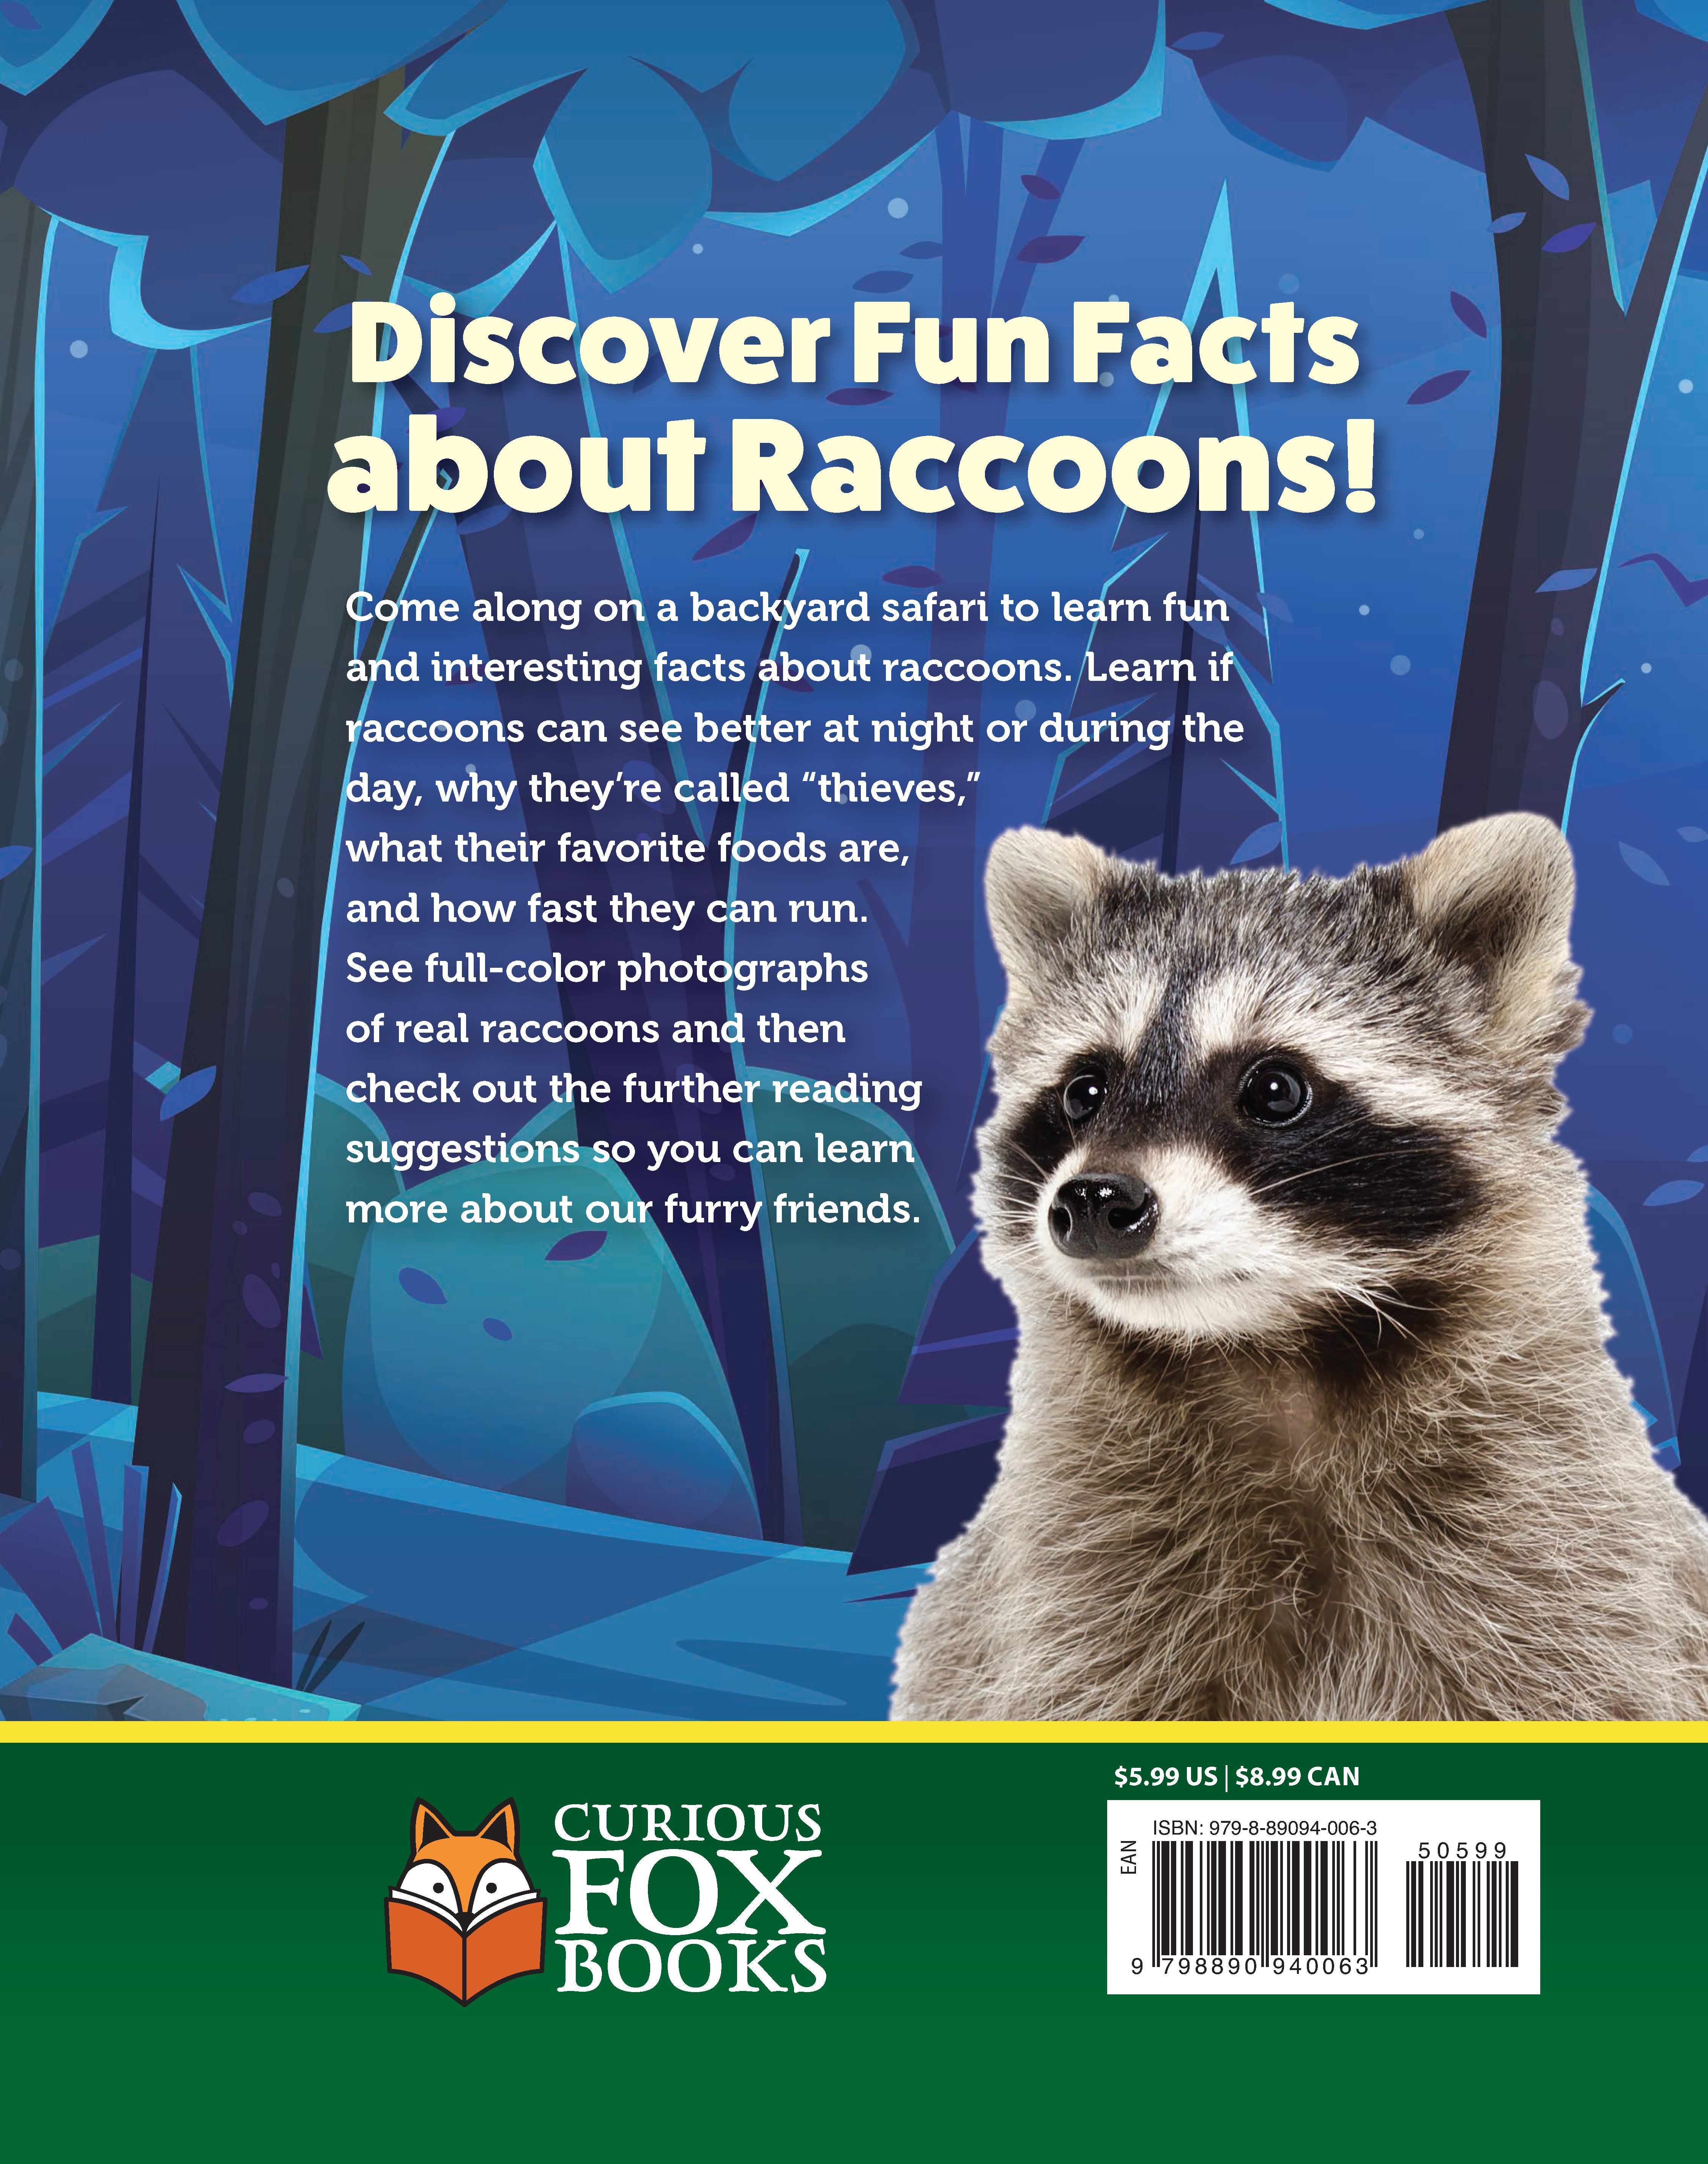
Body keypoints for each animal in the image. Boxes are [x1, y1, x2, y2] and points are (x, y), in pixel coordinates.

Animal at [890, 815, 1708, 1722]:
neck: (1269, 1353)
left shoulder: (1556, 1541)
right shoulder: (1077, 1572)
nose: (1096, 1200)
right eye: (1084, 1090)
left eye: (1276, 1089)